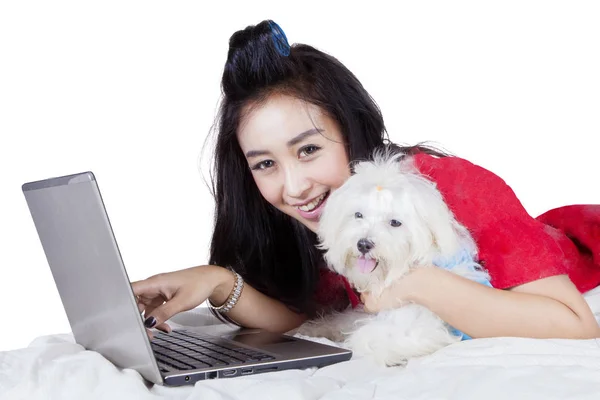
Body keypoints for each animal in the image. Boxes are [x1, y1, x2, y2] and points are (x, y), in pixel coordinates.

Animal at [296, 149, 492, 366]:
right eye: (358, 215)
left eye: (395, 222)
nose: (363, 244)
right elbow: (345, 320)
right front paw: (315, 328)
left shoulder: (417, 328)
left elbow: (368, 337)